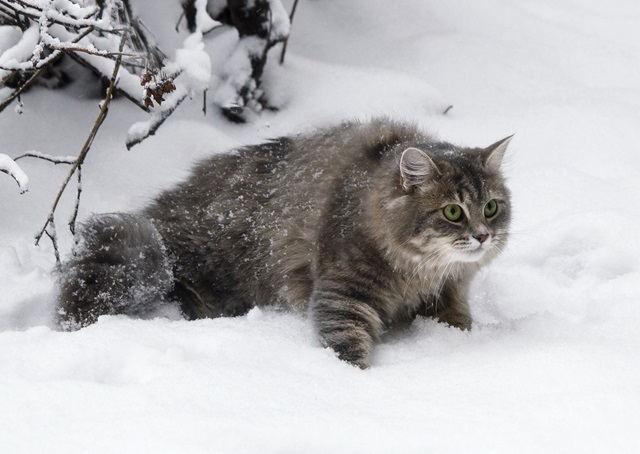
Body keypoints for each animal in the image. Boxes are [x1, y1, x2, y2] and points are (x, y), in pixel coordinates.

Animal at [57, 118, 512, 368]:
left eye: (491, 207)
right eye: (452, 212)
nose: (483, 235)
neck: (420, 271)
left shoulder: (448, 294)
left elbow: (459, 322)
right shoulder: (342, 292)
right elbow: (347, 344)